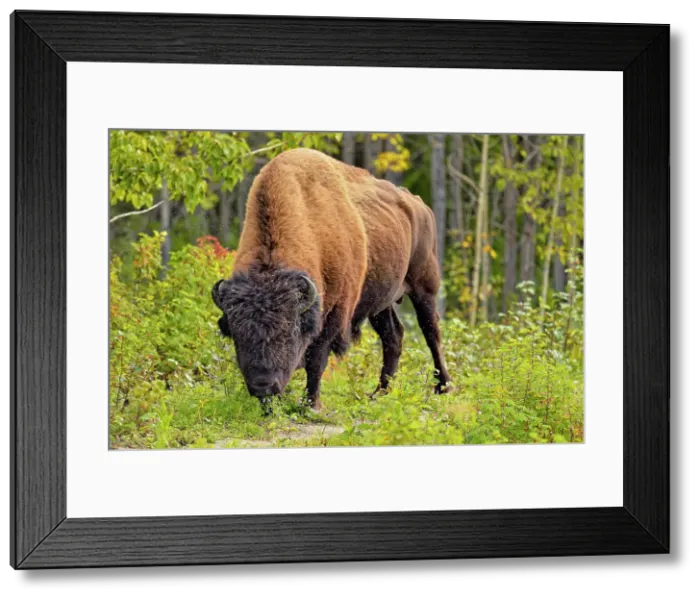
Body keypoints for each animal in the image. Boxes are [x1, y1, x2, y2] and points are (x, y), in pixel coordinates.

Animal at [211, 147, 450, 413]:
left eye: (287, 331)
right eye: (236, 333)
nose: (262, 386)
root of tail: (419, 205)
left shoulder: (334, 313)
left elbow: (316, 359)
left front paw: (311, 404)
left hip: (424, 287)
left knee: (431, 332)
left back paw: (443, 387)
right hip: (382, 302)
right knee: (393, 336)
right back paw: (379, 393)